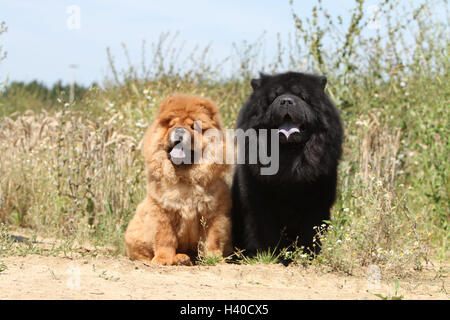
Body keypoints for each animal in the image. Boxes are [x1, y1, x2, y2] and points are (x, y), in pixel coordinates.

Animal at [125, 94, 232, 264]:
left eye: (194, 127)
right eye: (172, 125)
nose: (180, 130)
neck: (184, 177)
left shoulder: (214, 213)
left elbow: (212, 239)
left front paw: (214, 258)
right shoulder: (161, 212)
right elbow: (165, 238)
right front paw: (163, 259)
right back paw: (180, 258)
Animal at [232, 71, 342, 256]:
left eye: (302, 96)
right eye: (273, 98)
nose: (286, 101)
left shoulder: (317, 203)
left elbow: (310, 232)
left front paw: (307, 254)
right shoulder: (258, 202)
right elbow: (266, 231)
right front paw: (271, 254)